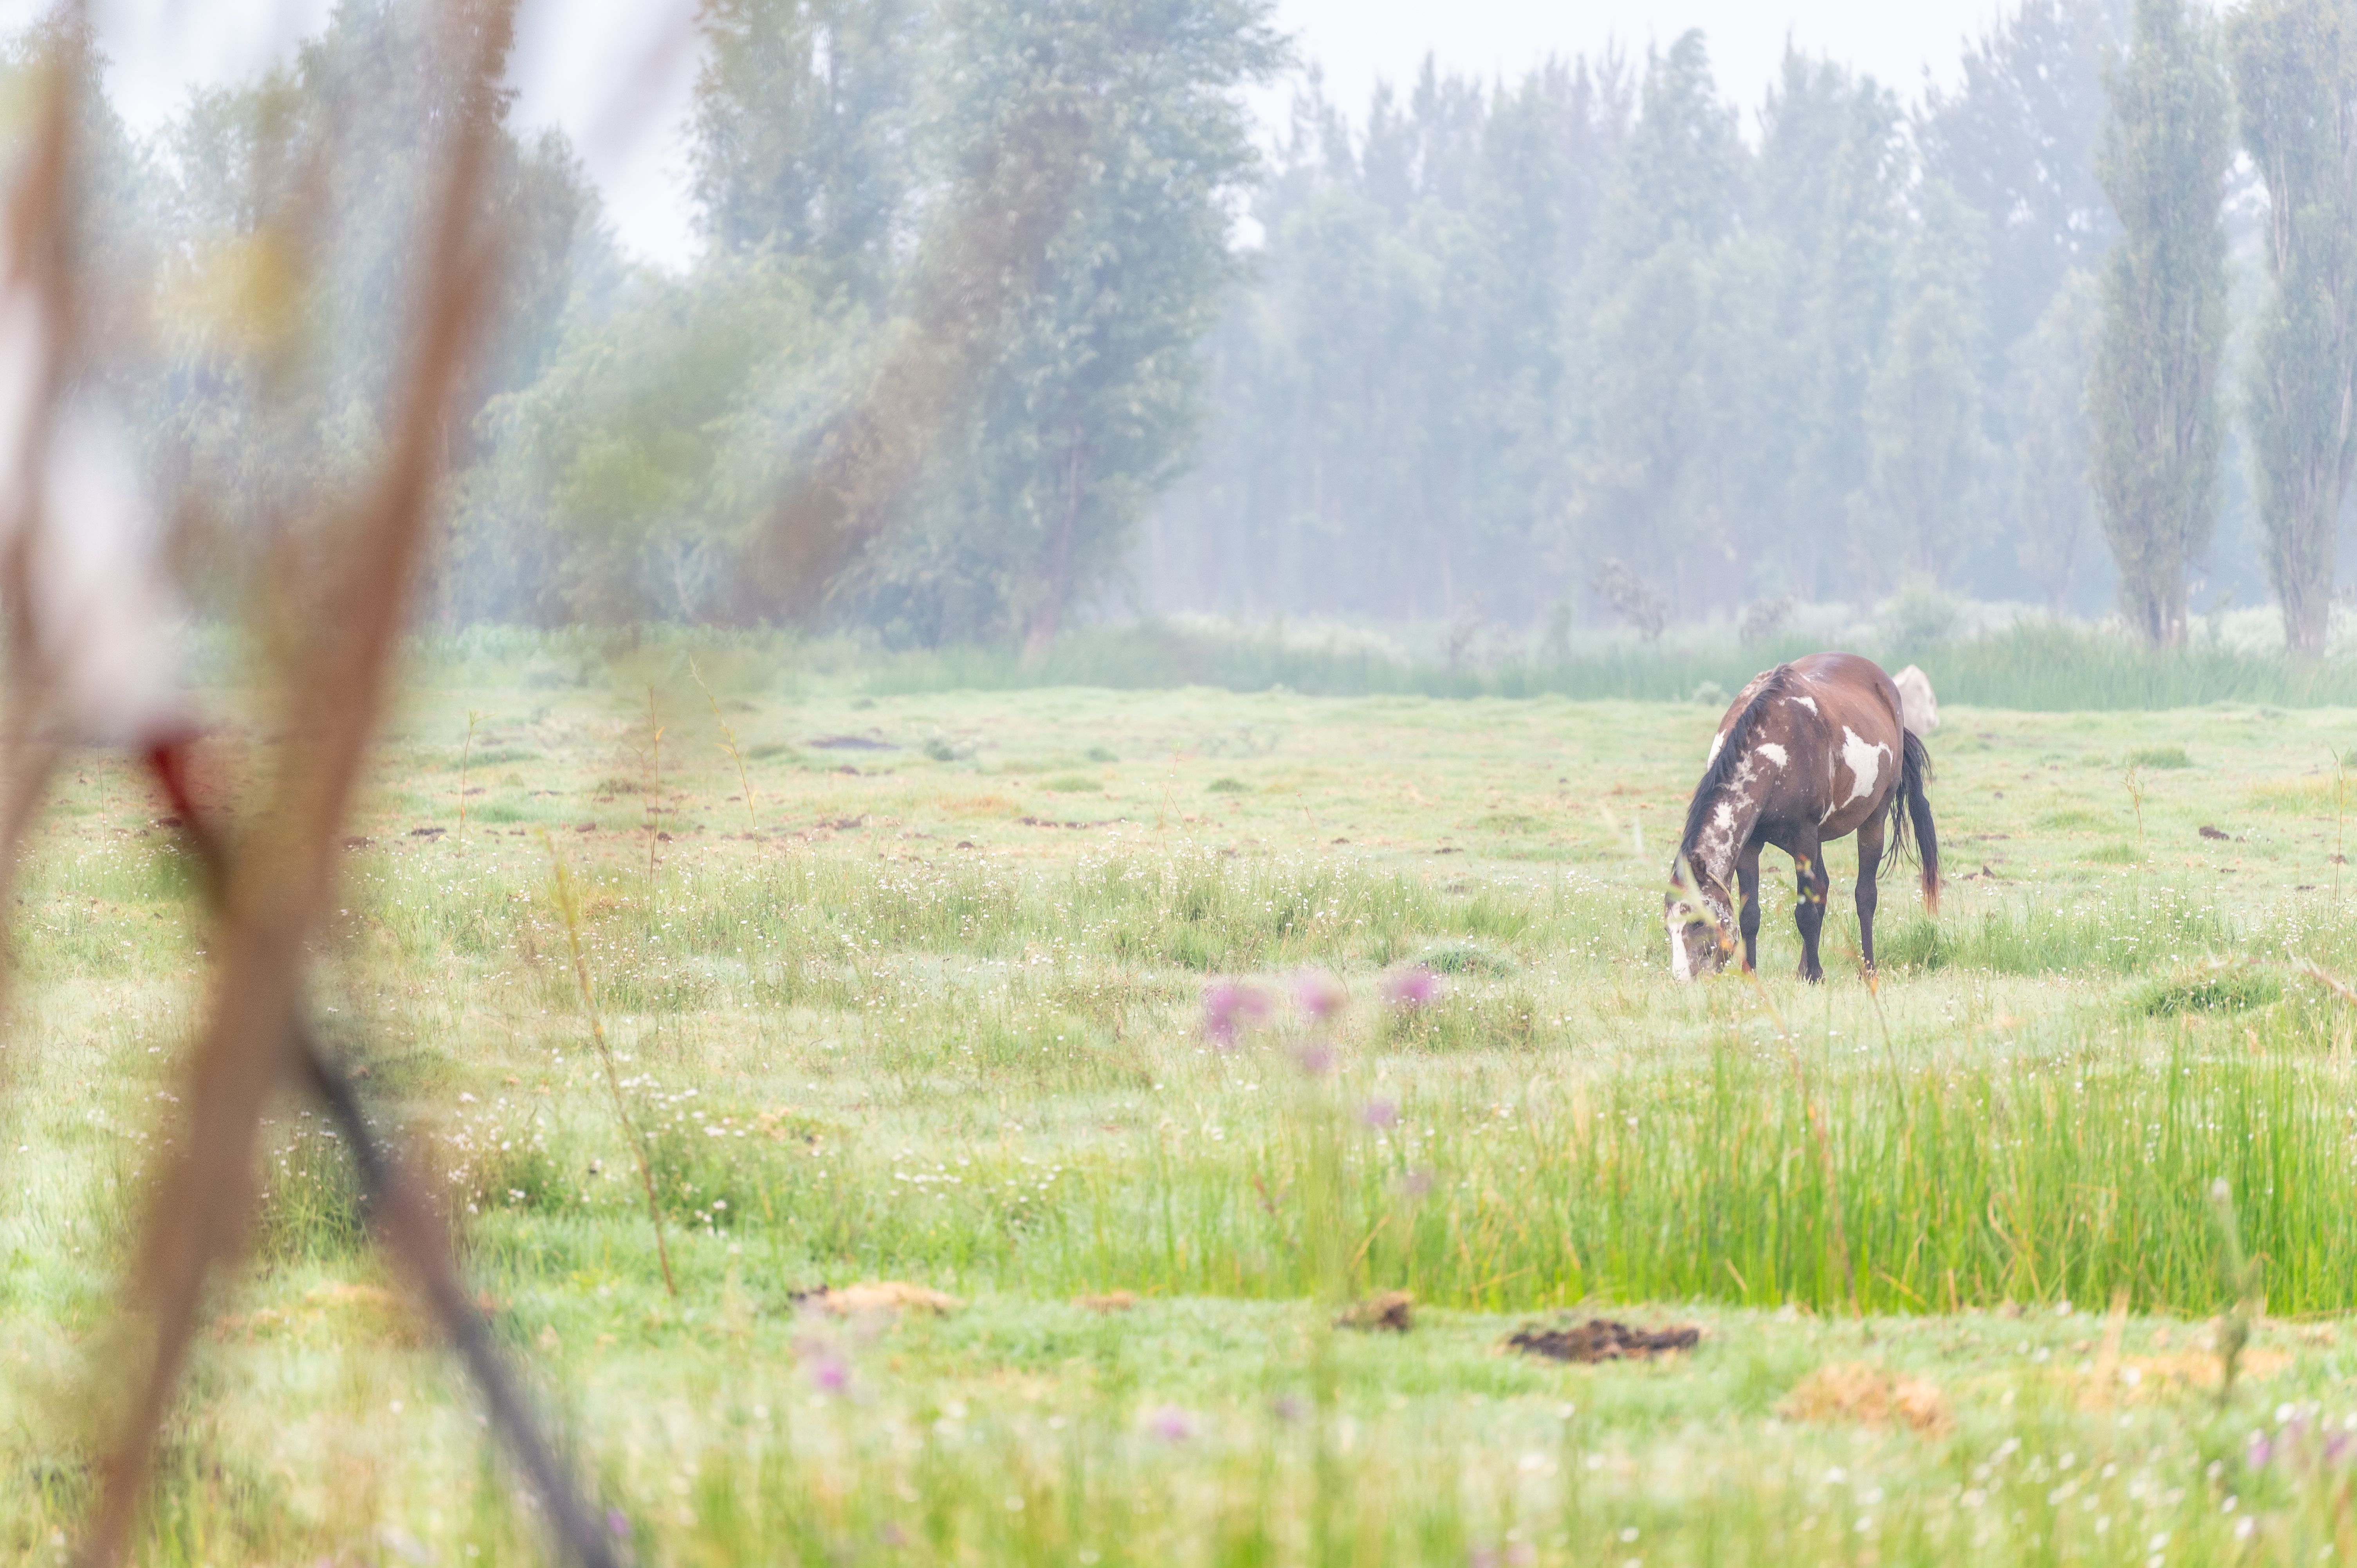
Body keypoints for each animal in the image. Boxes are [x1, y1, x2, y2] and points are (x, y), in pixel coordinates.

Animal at [1665, 652, 1939, 982]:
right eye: (1668, 928)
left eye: (1697, 923)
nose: (1682, 980)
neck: (1775, 753)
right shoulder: (1750, 845)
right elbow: (1751, 914)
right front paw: (1752, 974)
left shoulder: (1803, 835)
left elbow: (1806, 912)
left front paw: (1815, 975)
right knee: (1822, 888)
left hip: (1873, 817)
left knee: (1865, 896)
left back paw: (1867, 969)